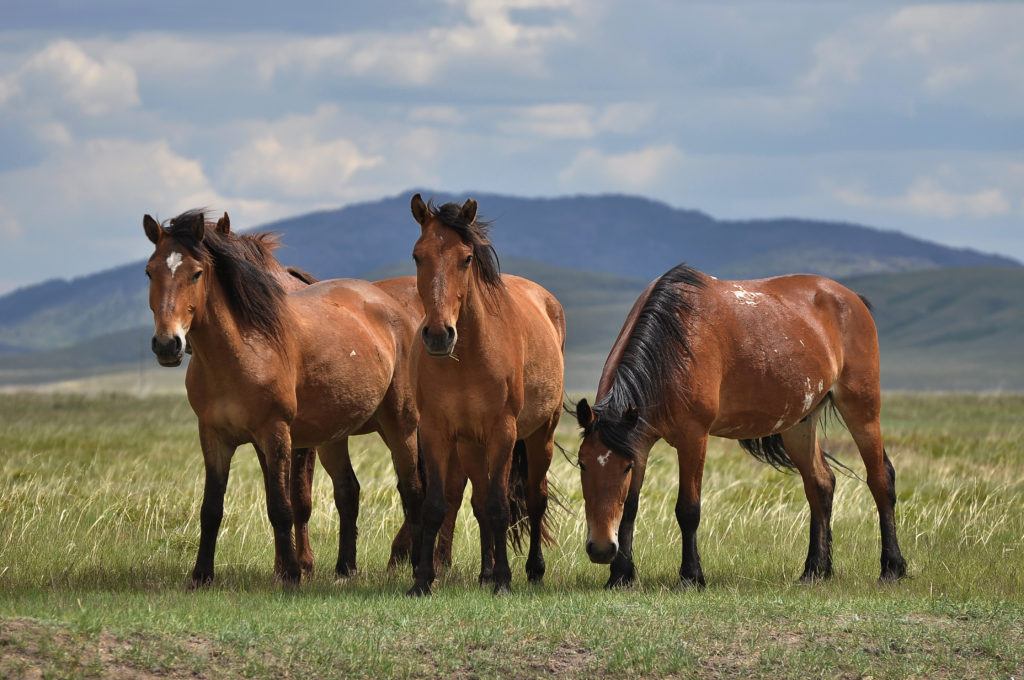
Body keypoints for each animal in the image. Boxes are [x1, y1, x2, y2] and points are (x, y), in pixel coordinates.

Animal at [144, 208, 430, 586]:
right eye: (150, 271)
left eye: (196, 273)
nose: (168, 344)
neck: (240, 351)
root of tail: (392, 307)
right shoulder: (215, 437)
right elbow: (212, 508)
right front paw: (202, 575)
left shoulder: (278, 434)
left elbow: (285, 505)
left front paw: (294, 571)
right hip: (335, 435)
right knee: (349, 491)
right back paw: (345, 568)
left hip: (400, 424)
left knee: (413, 490)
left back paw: (414, 563)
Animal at [406, 194, 566, 596]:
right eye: (418, 256)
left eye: (466, 258)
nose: (438, 335)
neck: (467, 357)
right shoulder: (436, 431)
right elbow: (438, 505)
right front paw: (422, 580)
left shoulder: (503, 432)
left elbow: (500, 506)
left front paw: (505, 581)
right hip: (470, 445)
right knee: (478, 502)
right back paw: (485, 572)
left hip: (540, 435)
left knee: (535, 499)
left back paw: (533, 570)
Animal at [574, 263, 907, 588]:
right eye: (582, 464)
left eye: (625, 468)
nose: (601, 548)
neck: (673, 344)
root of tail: (851, 299)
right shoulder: (639, 443)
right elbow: (629, 508)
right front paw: (620, 576)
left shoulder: (694, 437)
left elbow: (688, 509)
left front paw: (691, 576)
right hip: (799, 423)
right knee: (820, 484)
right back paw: (814, 570)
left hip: (861, 409)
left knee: (881, 479)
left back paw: (892, 568)